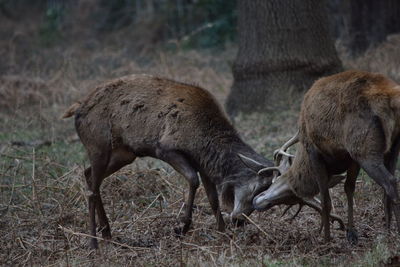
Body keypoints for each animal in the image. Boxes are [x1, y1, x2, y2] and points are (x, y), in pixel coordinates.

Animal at [61, 74, 276, 249]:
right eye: (258, 190)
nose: (240, 221)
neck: (202, 140)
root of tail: (77, 107)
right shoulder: (165, 148)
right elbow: (193, 180)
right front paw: (182, 227)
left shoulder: (203, 162)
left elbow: (213, 198)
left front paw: (223, 233)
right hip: (99, 145)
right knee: (91, 188)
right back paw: (93, 241)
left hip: (124, 153)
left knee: (89, 175)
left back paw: (107, 232)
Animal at [244, 70, 400, 245]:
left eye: (293, 193)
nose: (257, 202)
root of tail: (391, 97)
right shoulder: (351, 158)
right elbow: (349, 188)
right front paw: (351, 233)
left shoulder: (314, 151)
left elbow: (326, 200)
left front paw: (326, 240)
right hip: (393, 146)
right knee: (389, 183)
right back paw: (387, 232)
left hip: (364, 148)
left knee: (390, 182)